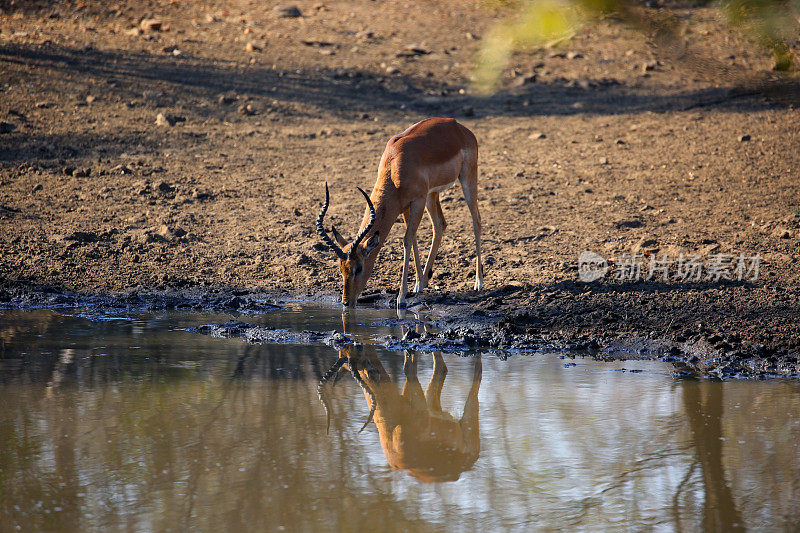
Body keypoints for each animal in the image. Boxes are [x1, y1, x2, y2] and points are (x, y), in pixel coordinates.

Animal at [316, 117, 484, 308]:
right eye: (340, 268)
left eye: (358, 268)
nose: (346, 302)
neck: (395, 163)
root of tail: (459, 127)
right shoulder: (404, 206)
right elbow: (414, 239)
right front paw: (417, 284)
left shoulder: (417, 201)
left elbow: (407, 240)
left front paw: (401, 298)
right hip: (432, 194)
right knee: (440, 225)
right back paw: (424, 281)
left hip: (467, 179)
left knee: (476, 221)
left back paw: (479, 283)